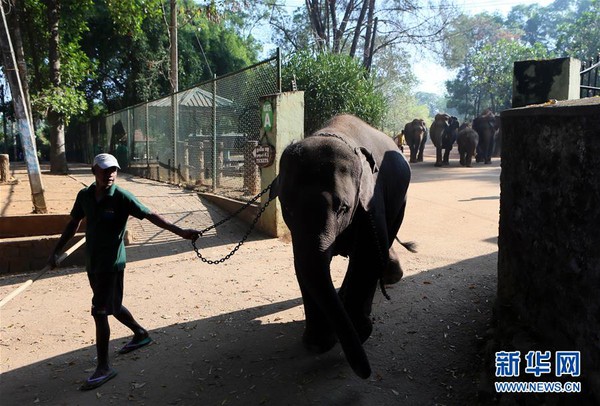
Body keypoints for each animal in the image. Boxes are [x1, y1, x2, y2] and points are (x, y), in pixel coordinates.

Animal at [270, 113, 414, 378]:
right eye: (287, 208)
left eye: (343, 208)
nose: (365, 373)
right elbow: (303, 263)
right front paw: (318, 344)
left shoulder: (371, 200)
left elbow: (368, 254)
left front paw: (359, 333)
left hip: (401, 201)